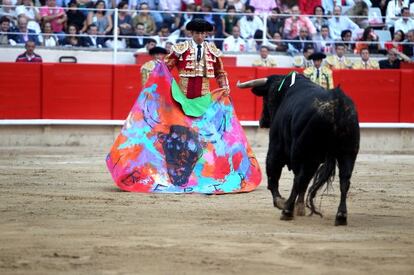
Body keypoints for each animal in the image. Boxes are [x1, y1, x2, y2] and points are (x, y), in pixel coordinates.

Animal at [238, 73, 360, 226]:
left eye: (267, 97)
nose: (262, 121)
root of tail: (337, 104)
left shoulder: (276, 149)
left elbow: (274, 176)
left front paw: (281, 202)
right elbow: (304, 182)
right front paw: (300, 207)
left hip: (307, 153)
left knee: (299, 179)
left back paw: (287, 210)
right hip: (348, 153)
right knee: (344, 180)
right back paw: (341, 216)